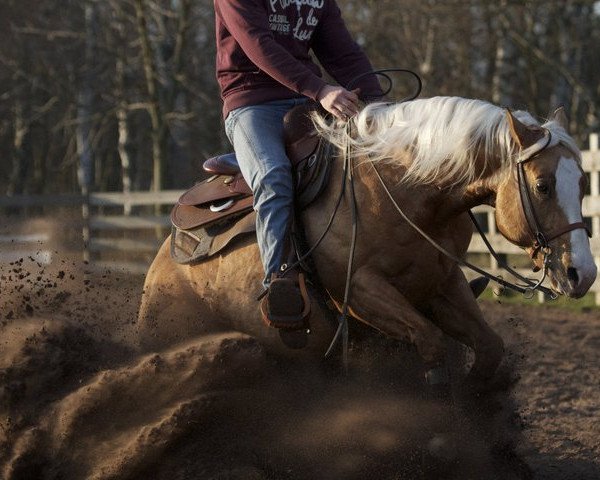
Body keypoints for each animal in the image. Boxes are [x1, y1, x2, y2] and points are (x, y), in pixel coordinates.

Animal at [138, 96, 596, 382]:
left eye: (583, 183)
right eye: (542, 186)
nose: (584, 274)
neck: (407, 191)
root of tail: (164, 259)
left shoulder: (441, 284)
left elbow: (488, 348)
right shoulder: (360, 291)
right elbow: (432, 346)